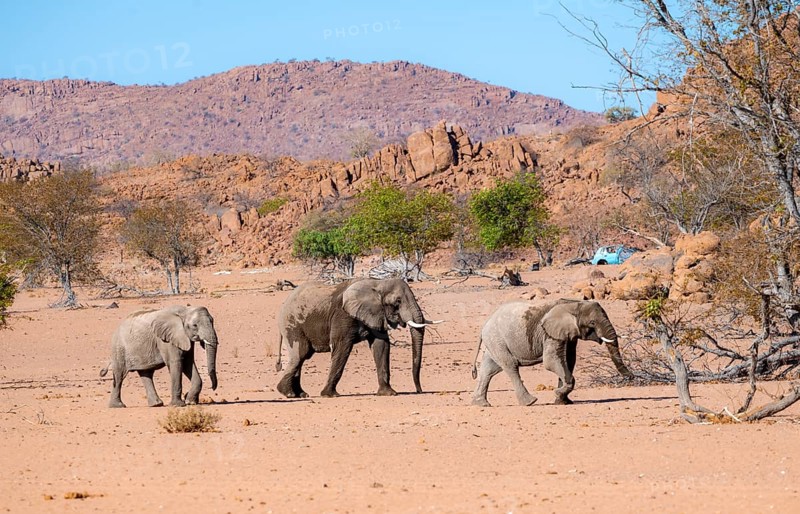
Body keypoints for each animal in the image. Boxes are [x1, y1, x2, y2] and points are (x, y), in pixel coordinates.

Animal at [275, 278, 441, 398]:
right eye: (397, 302)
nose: (419, 391)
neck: (377, 283)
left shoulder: (376, 314)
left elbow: (381, 346)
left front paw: (388, 393)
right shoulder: (343, 316)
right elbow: (342, 348)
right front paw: (329, 395)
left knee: (301, 357)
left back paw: (300, 394)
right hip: (293, 325)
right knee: (300, 354)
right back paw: (288, 393)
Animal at [471, 299, 632, 407]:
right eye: (592, 322)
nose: (632, 376)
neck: (573, 303)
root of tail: (485, 324)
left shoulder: (568, 335)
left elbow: (569, 361)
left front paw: (563, 401)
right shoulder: (549, 334)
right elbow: (551, 361)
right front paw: (558, 394)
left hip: (494, 342)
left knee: (489, 369)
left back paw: (481, 404)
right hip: (497, 339)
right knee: (510, 366)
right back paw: (530, 402)